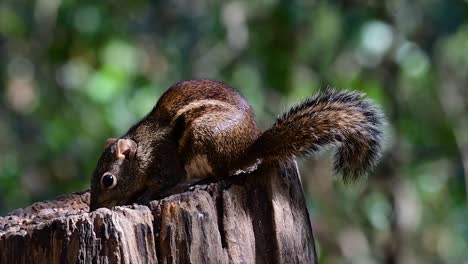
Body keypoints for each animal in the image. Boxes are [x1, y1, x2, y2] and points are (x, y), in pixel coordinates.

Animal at [89, 79, 386, 211]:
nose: (93, 209)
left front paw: (142, 198)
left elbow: (161, 183)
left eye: (107, 180)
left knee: (223, 173)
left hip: (206, 136)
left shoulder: (164, 162)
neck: (143, 150)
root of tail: (247, 149)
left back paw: (198, 182)